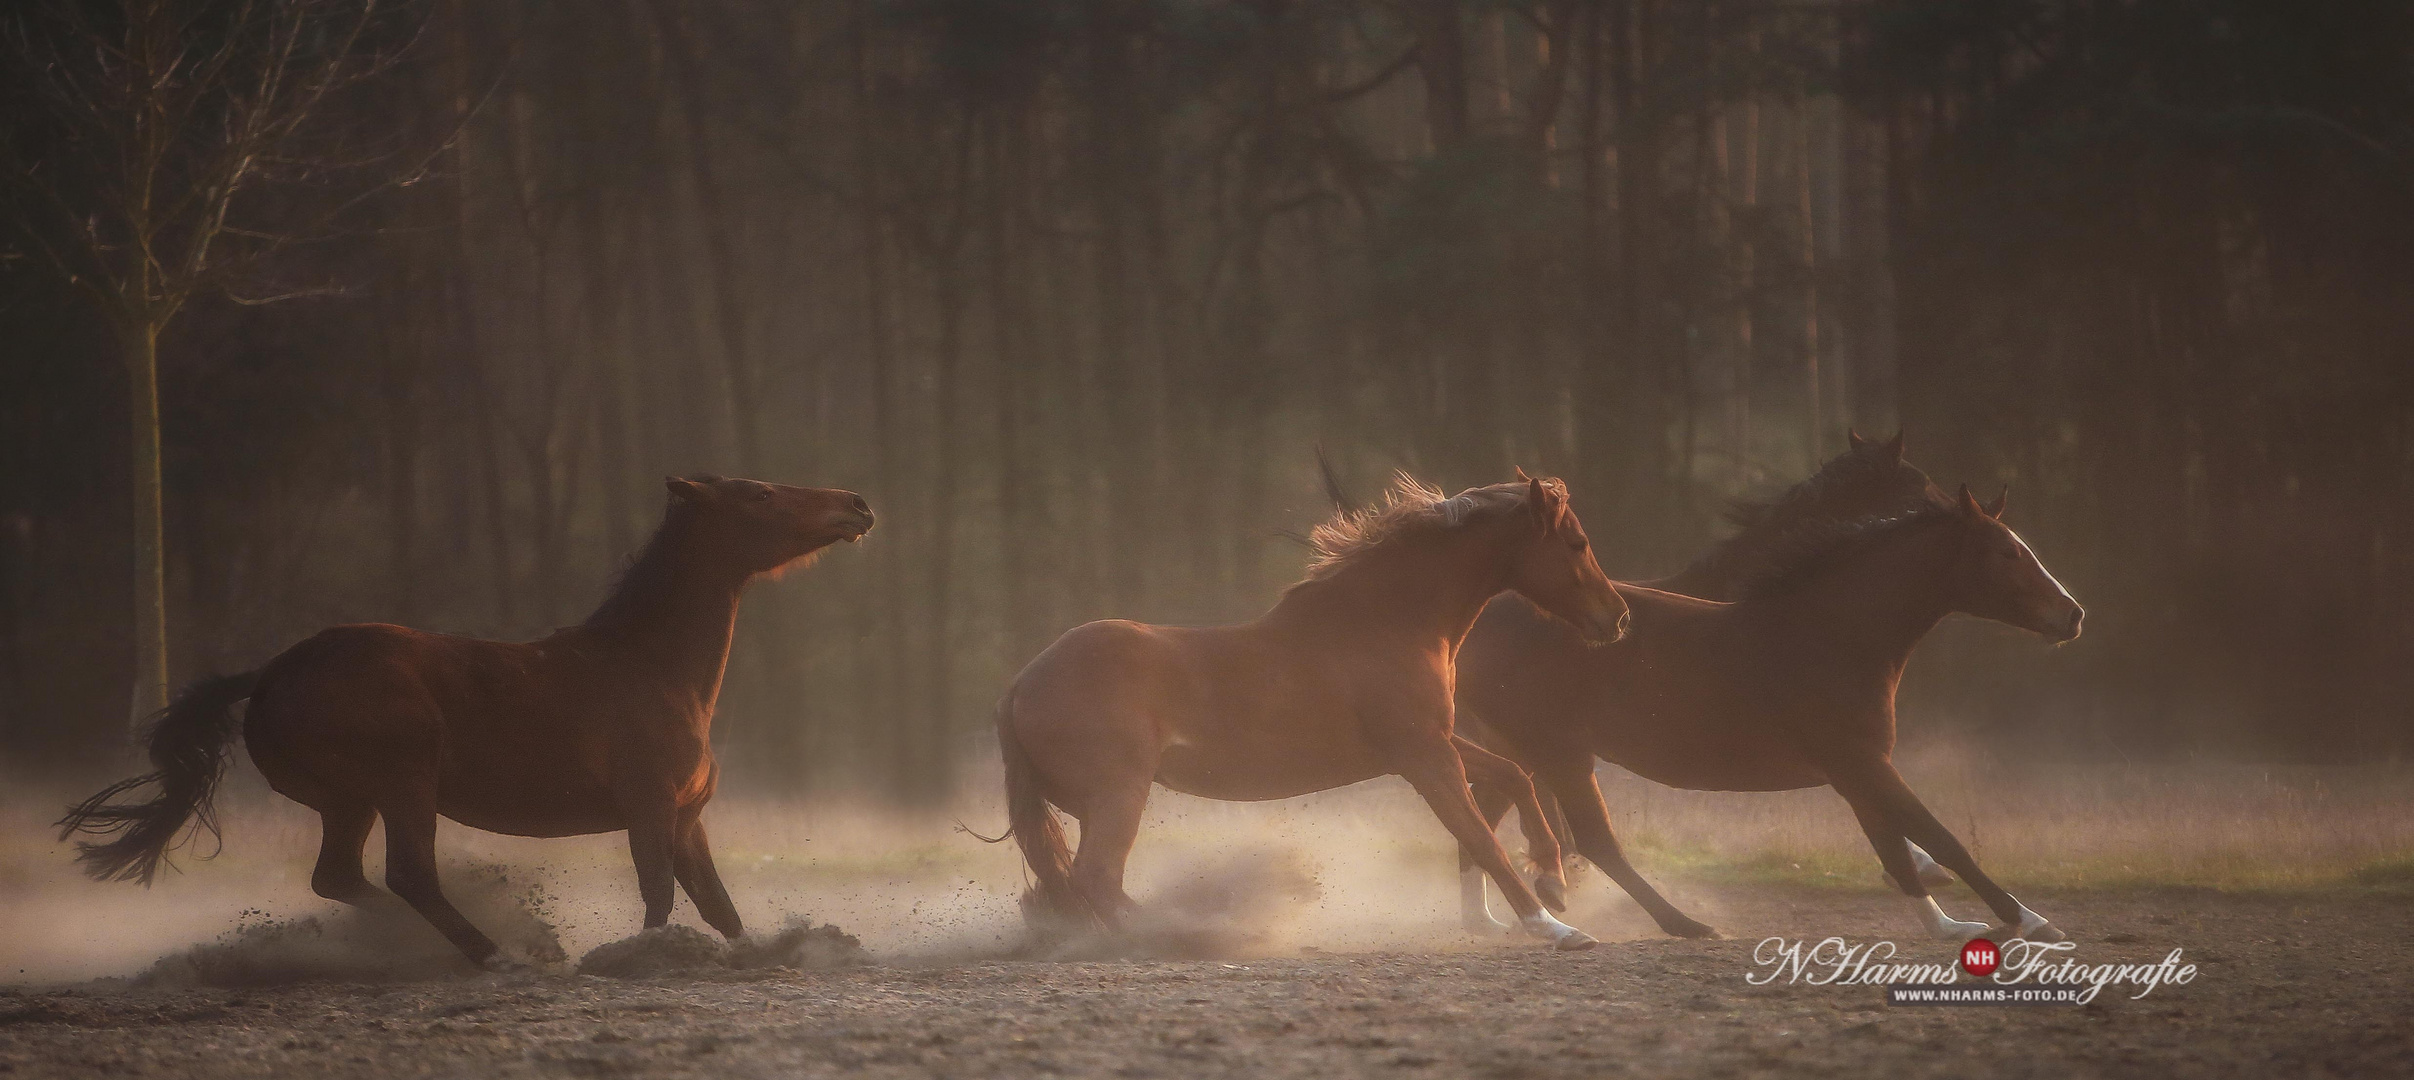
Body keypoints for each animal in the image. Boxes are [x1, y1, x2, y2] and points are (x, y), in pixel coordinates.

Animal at [58, 478, 878, 966]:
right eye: (760, 494)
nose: (857, 505)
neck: (652, 666)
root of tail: (270, 675)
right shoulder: (648, 808)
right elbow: (659, 895)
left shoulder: (685, 816)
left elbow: (718, 907)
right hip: (403, 785)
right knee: (408, 874)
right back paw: (502, 952)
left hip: (349, 801)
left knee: (343, 878)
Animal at [989, 478, 1631, 951]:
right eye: (1577, 542)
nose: (1618, 617)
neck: (1386, 623)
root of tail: (1021, 681)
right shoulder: (1424, 758)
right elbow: (1480, 838)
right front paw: (1556, 927)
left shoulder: (1433, 744)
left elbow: (1514, 776)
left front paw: (1553, 878)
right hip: (1119, 795)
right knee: (1096, 878)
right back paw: (1183, 937)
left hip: (1093, 804)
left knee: (1071, 885)